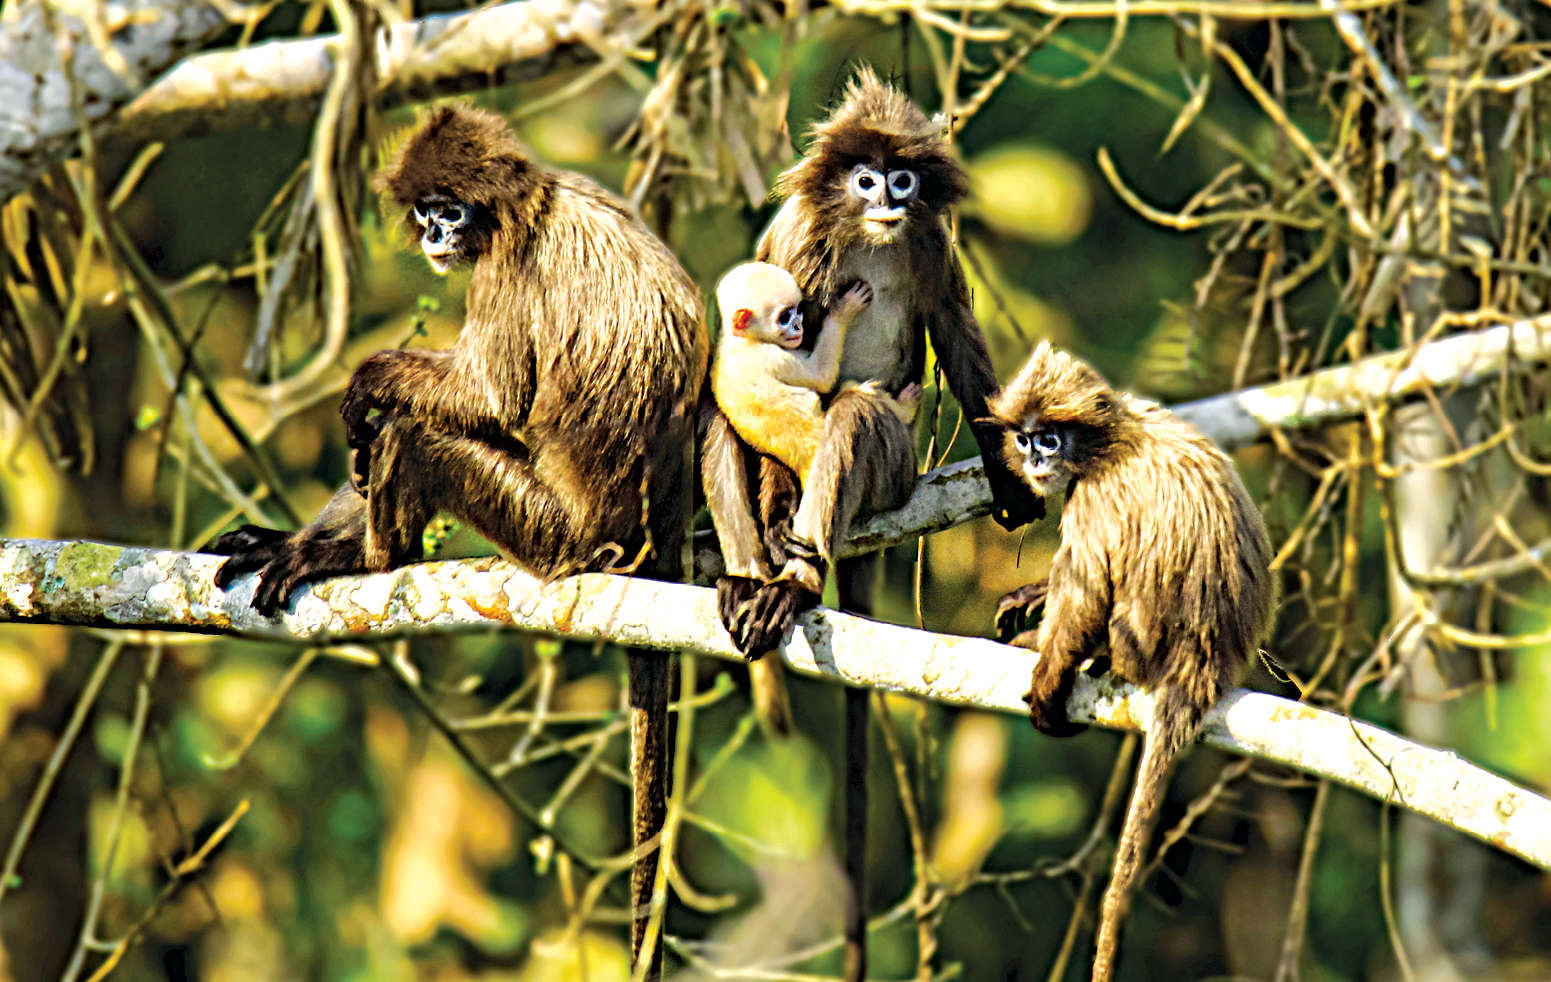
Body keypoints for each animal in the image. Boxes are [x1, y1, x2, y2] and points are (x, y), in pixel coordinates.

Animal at [206, 105, 707, 978]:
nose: (437, 232)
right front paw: (287, 536)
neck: (535, 201)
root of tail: (652, 540)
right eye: (426, 210)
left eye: (452, 210)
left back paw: (368, 557)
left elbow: (487, 397)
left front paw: (367, 383)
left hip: (547, 530)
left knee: (416, 436)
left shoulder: (510, 263)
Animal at [712, 262, 921, 486]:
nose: (798, 326)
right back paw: (906, 407)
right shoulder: (773, 356)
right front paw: (843, 310)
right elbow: (822, 376)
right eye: (785, 317)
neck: (743, 339)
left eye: (797, 311)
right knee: (855, 391)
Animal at [987, 340, 1275, 982]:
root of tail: (1202, 664)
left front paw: (1049, 671)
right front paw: (1032, 596)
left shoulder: (1094, 496)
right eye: (1025, 437)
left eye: (1050, 439)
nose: (1034, 456)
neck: (1113, 439)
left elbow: (1088, 593)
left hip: (1138, 640)